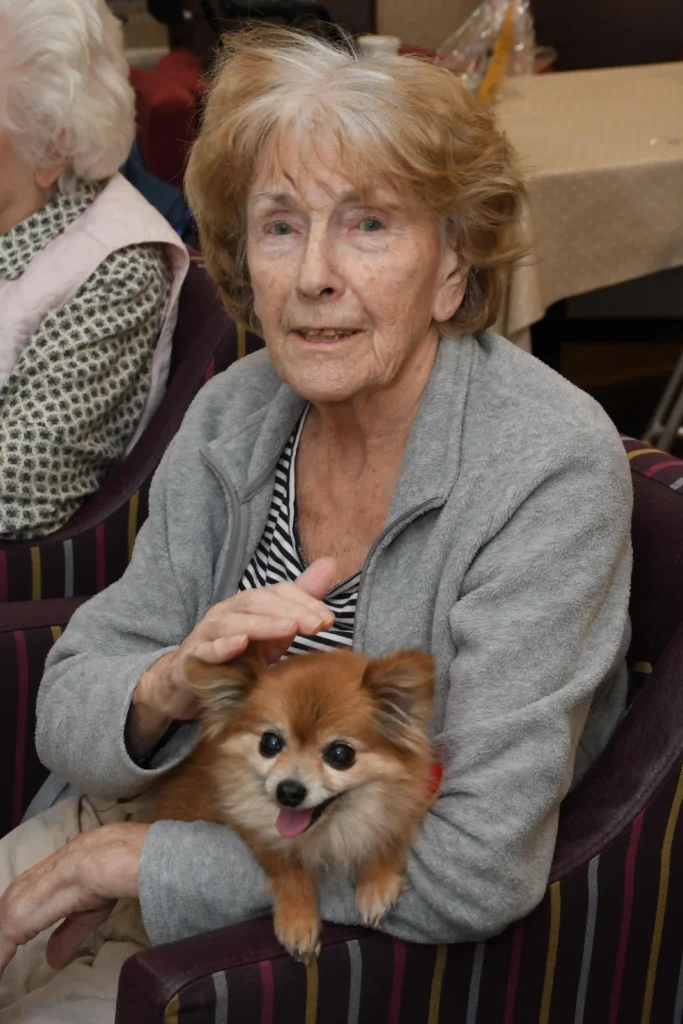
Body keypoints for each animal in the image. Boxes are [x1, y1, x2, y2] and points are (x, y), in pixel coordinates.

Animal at [149, 647, 438, 958]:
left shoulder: (407, 803)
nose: (288, 791)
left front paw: (376, 884)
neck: (328, 832)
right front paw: (297, 919)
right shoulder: (255, 829)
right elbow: (287, 866)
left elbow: (389, 833)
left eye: (341, 754)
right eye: (270, 743)